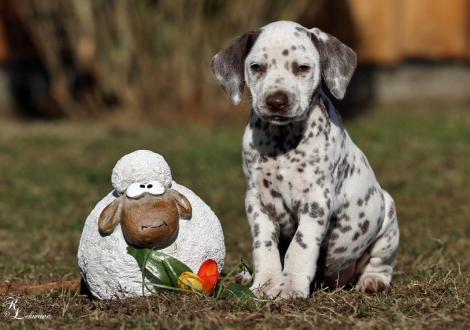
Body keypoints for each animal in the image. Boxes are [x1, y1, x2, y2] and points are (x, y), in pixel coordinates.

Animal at [211, 20, 398, 300]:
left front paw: (289, 288)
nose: (276, 101)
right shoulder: (258, 201)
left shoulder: (316, 201)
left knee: (380, 263)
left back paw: (373, 281)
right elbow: (264, 247)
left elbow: (299, 248)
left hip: (388, 219)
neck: (282, 142)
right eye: (256, 67)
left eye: (302, 68)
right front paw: (265, 284)